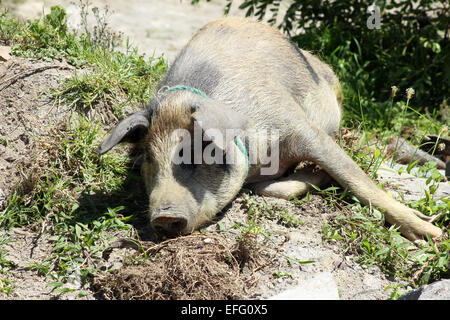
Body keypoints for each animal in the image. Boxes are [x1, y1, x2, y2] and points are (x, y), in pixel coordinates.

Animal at [98, 17, 442, 241]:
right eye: (149, 160)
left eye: (199, 153)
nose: (164, 216)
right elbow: (274, 189)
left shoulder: (301, 127)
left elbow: (357, 179)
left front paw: (433, 234)